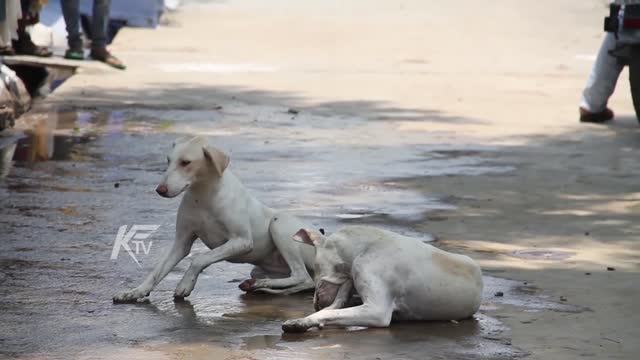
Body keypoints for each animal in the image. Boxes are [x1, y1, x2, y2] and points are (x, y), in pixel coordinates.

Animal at [114, 136, 318, 302]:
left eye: (185, 162)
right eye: (168, 161)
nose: (160, 190)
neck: (203, 195)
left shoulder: (242, 241)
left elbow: (199, 259)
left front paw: (185, 284)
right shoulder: (181, 242)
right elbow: (156, 272)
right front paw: (136, 292)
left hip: (279, 225)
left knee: (302, 276)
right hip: (260, 268)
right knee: (302, 283)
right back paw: (258, 286)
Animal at [282, 226, 482, 334]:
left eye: (315, 268)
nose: (315, 302)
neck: (363, 248)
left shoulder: (377, 311)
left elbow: (329, 313)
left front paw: (300, 323)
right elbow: (333, 308)